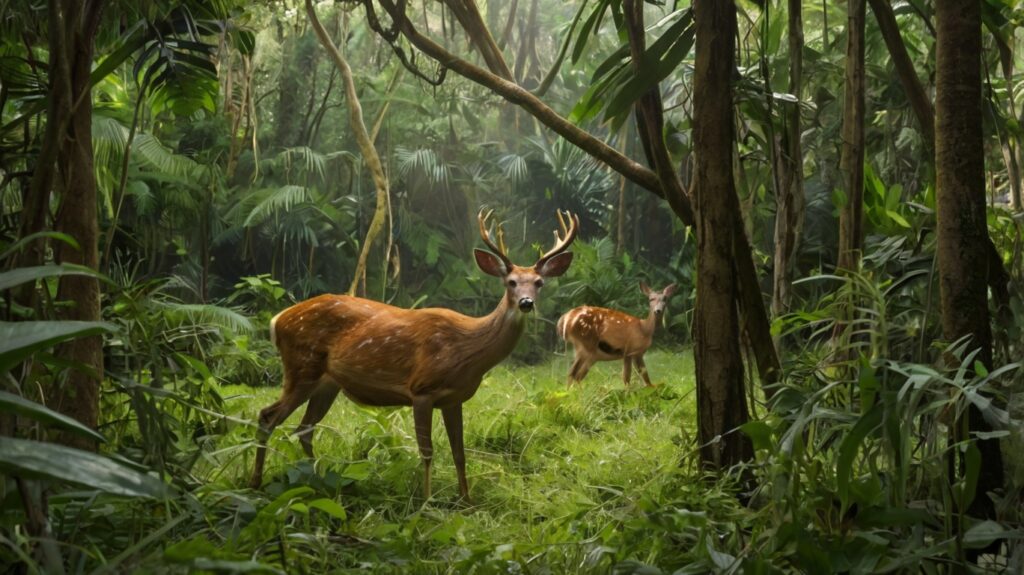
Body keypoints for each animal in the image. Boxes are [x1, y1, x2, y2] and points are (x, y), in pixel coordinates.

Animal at [248, 209, 581, 497]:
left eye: (538, 282)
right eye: (511, 282)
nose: (526, 302)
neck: (467, 351)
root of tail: (278, 320)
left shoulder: (454, 398)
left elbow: (459, 453)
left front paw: (466, 501)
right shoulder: (421, 389)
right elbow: (427, 451)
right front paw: (426, 500)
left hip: (327, 383)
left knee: (304, 429)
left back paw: (318, 483)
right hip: (301, 367)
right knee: (267, 417)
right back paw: (255, 483)